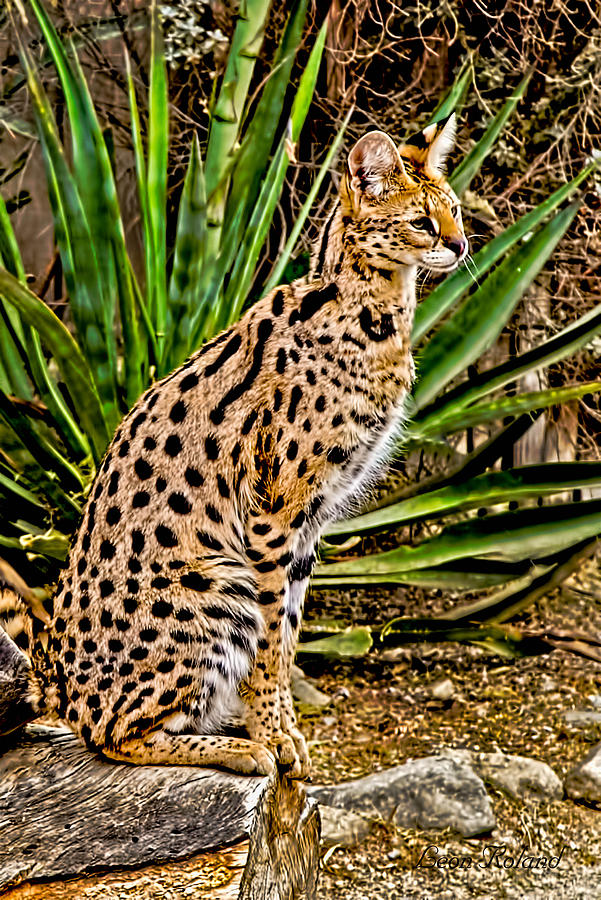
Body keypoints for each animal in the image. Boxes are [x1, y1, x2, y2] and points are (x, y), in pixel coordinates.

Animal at [18, 116, 466, 776]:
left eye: (454, 210)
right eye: (421, 221)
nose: (461, 247)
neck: (374, 315)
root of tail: (56, 680)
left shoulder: (311, 519)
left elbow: (292, 630)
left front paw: (285, 732)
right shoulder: (276, 512)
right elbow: (273, 641)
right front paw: (275, 738)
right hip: (218, 585)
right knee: (109, 733)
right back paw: (236, 748)